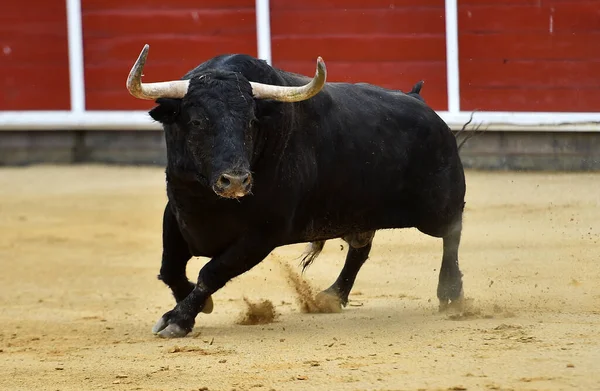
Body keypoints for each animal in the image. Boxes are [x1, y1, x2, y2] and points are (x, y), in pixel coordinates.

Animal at [125, 46, 464, 340]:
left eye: (251, 121)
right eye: (196, 121)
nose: (235, 181)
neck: (209, 201)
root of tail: (420, 101)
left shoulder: (263, 234)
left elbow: (211, 272)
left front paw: (180, 319)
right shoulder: (176, 213)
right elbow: (169, 268)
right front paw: (192, 308)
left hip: (437, 208)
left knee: (452, 231)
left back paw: (451, 294)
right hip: (359, 213)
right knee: (361, 248)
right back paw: (332, 296)